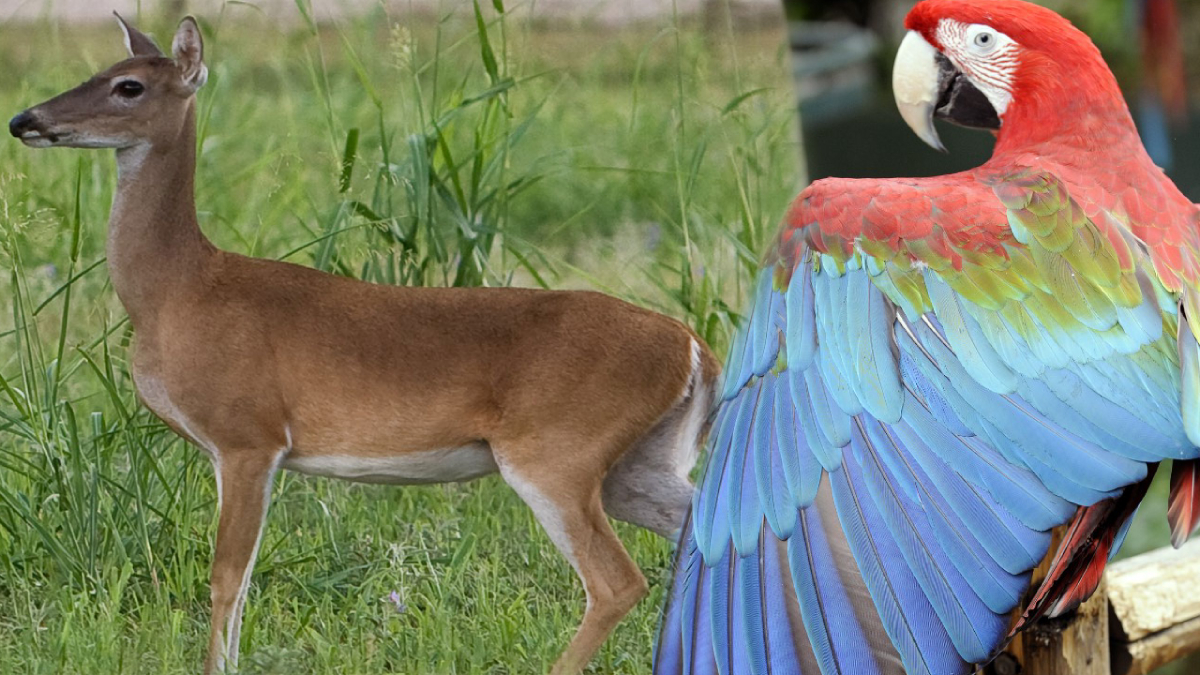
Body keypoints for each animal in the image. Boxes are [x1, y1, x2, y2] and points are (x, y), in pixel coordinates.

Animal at [11, 15, 720, 672]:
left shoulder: (248, 435)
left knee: (617, 582)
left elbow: (226, 579)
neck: (178, 290)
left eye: (128, 85)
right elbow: (239, 582)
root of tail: (692, 347)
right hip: (636, 464)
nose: (23, 119)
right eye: (99, 69)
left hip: (556, 450)